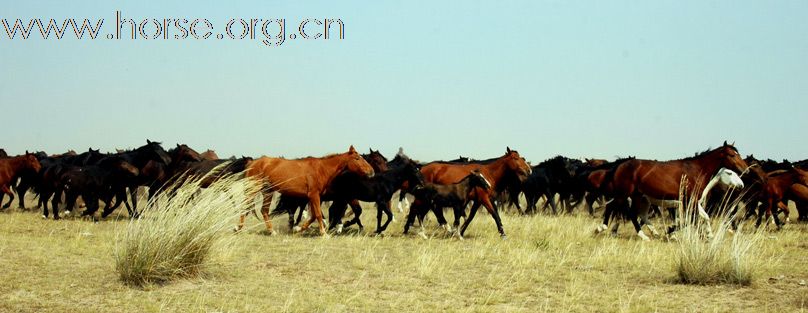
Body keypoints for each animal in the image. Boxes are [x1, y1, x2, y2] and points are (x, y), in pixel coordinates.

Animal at [238, 145, 378, 235]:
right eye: (357, 158)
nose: (371, 172)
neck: (321, 169)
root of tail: (253, 163)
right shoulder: (314, 195)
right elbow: (317, 215)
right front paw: (323, 233)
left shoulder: (312, 197)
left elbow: (313, 216)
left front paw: (299, 229)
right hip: (254, 191)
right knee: (246, 208)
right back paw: (238, 228)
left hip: (268, 192)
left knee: (264, 211)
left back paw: (272, 231)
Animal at [608, 141, 752, 239]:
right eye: (732, 155)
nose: (746, 170)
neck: (696, 170)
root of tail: (621, 164)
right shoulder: (688, 203)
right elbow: (691, 220)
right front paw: (674, 232)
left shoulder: (692, 202)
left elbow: (703, 217)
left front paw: (708, 234)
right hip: (623, 195)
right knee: (620, 211)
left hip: (640, 198)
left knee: (636, 214)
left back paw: (652, 233)